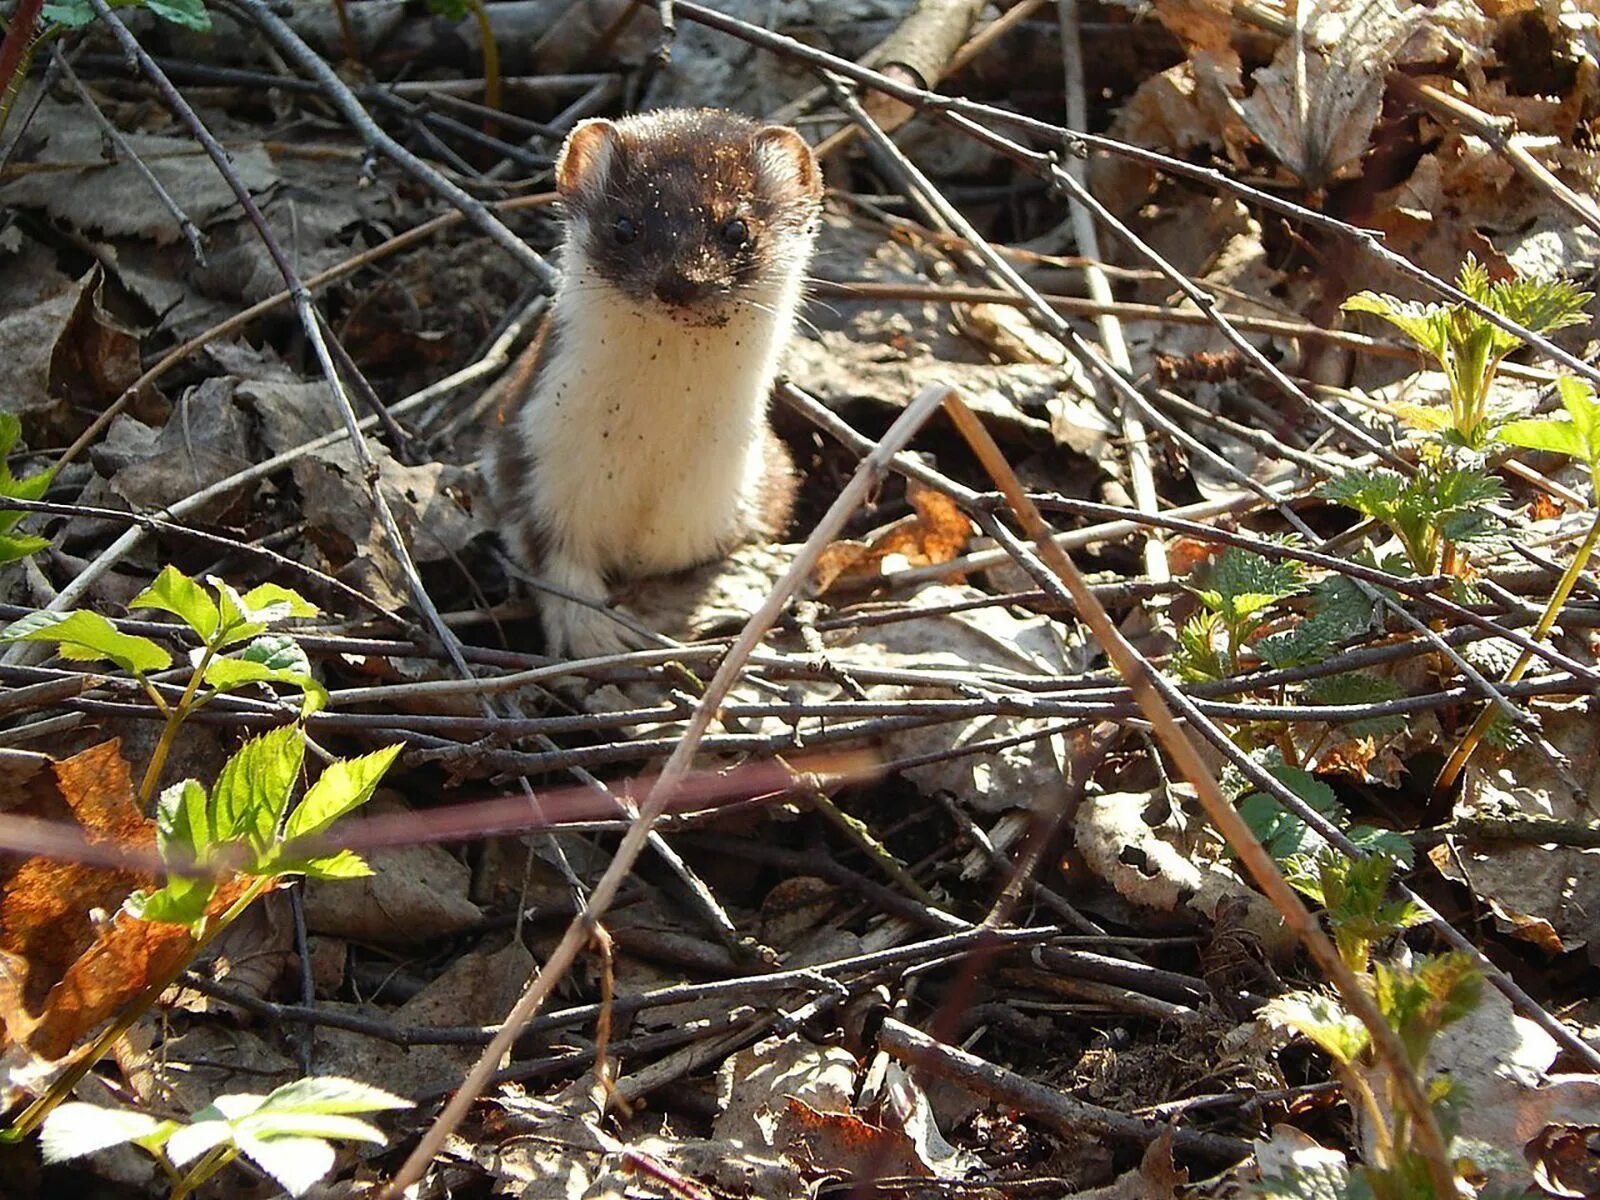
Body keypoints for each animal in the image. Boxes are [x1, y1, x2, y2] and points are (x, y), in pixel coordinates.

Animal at [486, 108, 825, 662]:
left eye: (737, 227)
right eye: (624, 225)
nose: (679, 281)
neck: (651, 450)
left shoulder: (741, 498)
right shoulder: (530, 460)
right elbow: (552, 561)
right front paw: (593, 632)